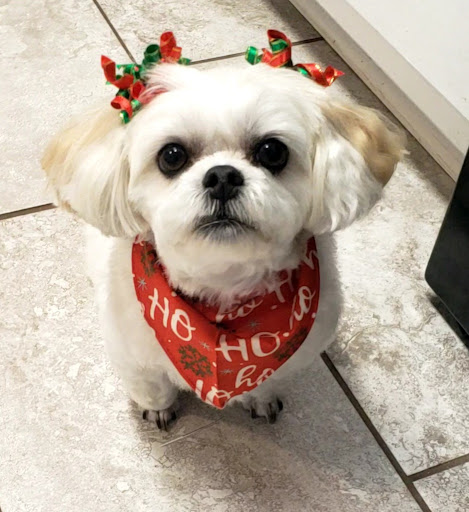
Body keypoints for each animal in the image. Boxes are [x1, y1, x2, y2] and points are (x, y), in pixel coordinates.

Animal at [42, 59, 404, 428]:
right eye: (171, 156)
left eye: (272, 151)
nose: (222, 177)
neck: (223, 289)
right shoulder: (132, 355)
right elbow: (152, 386)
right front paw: (158, 408)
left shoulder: (293, 355)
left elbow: (269, 381)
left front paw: (261, 399)